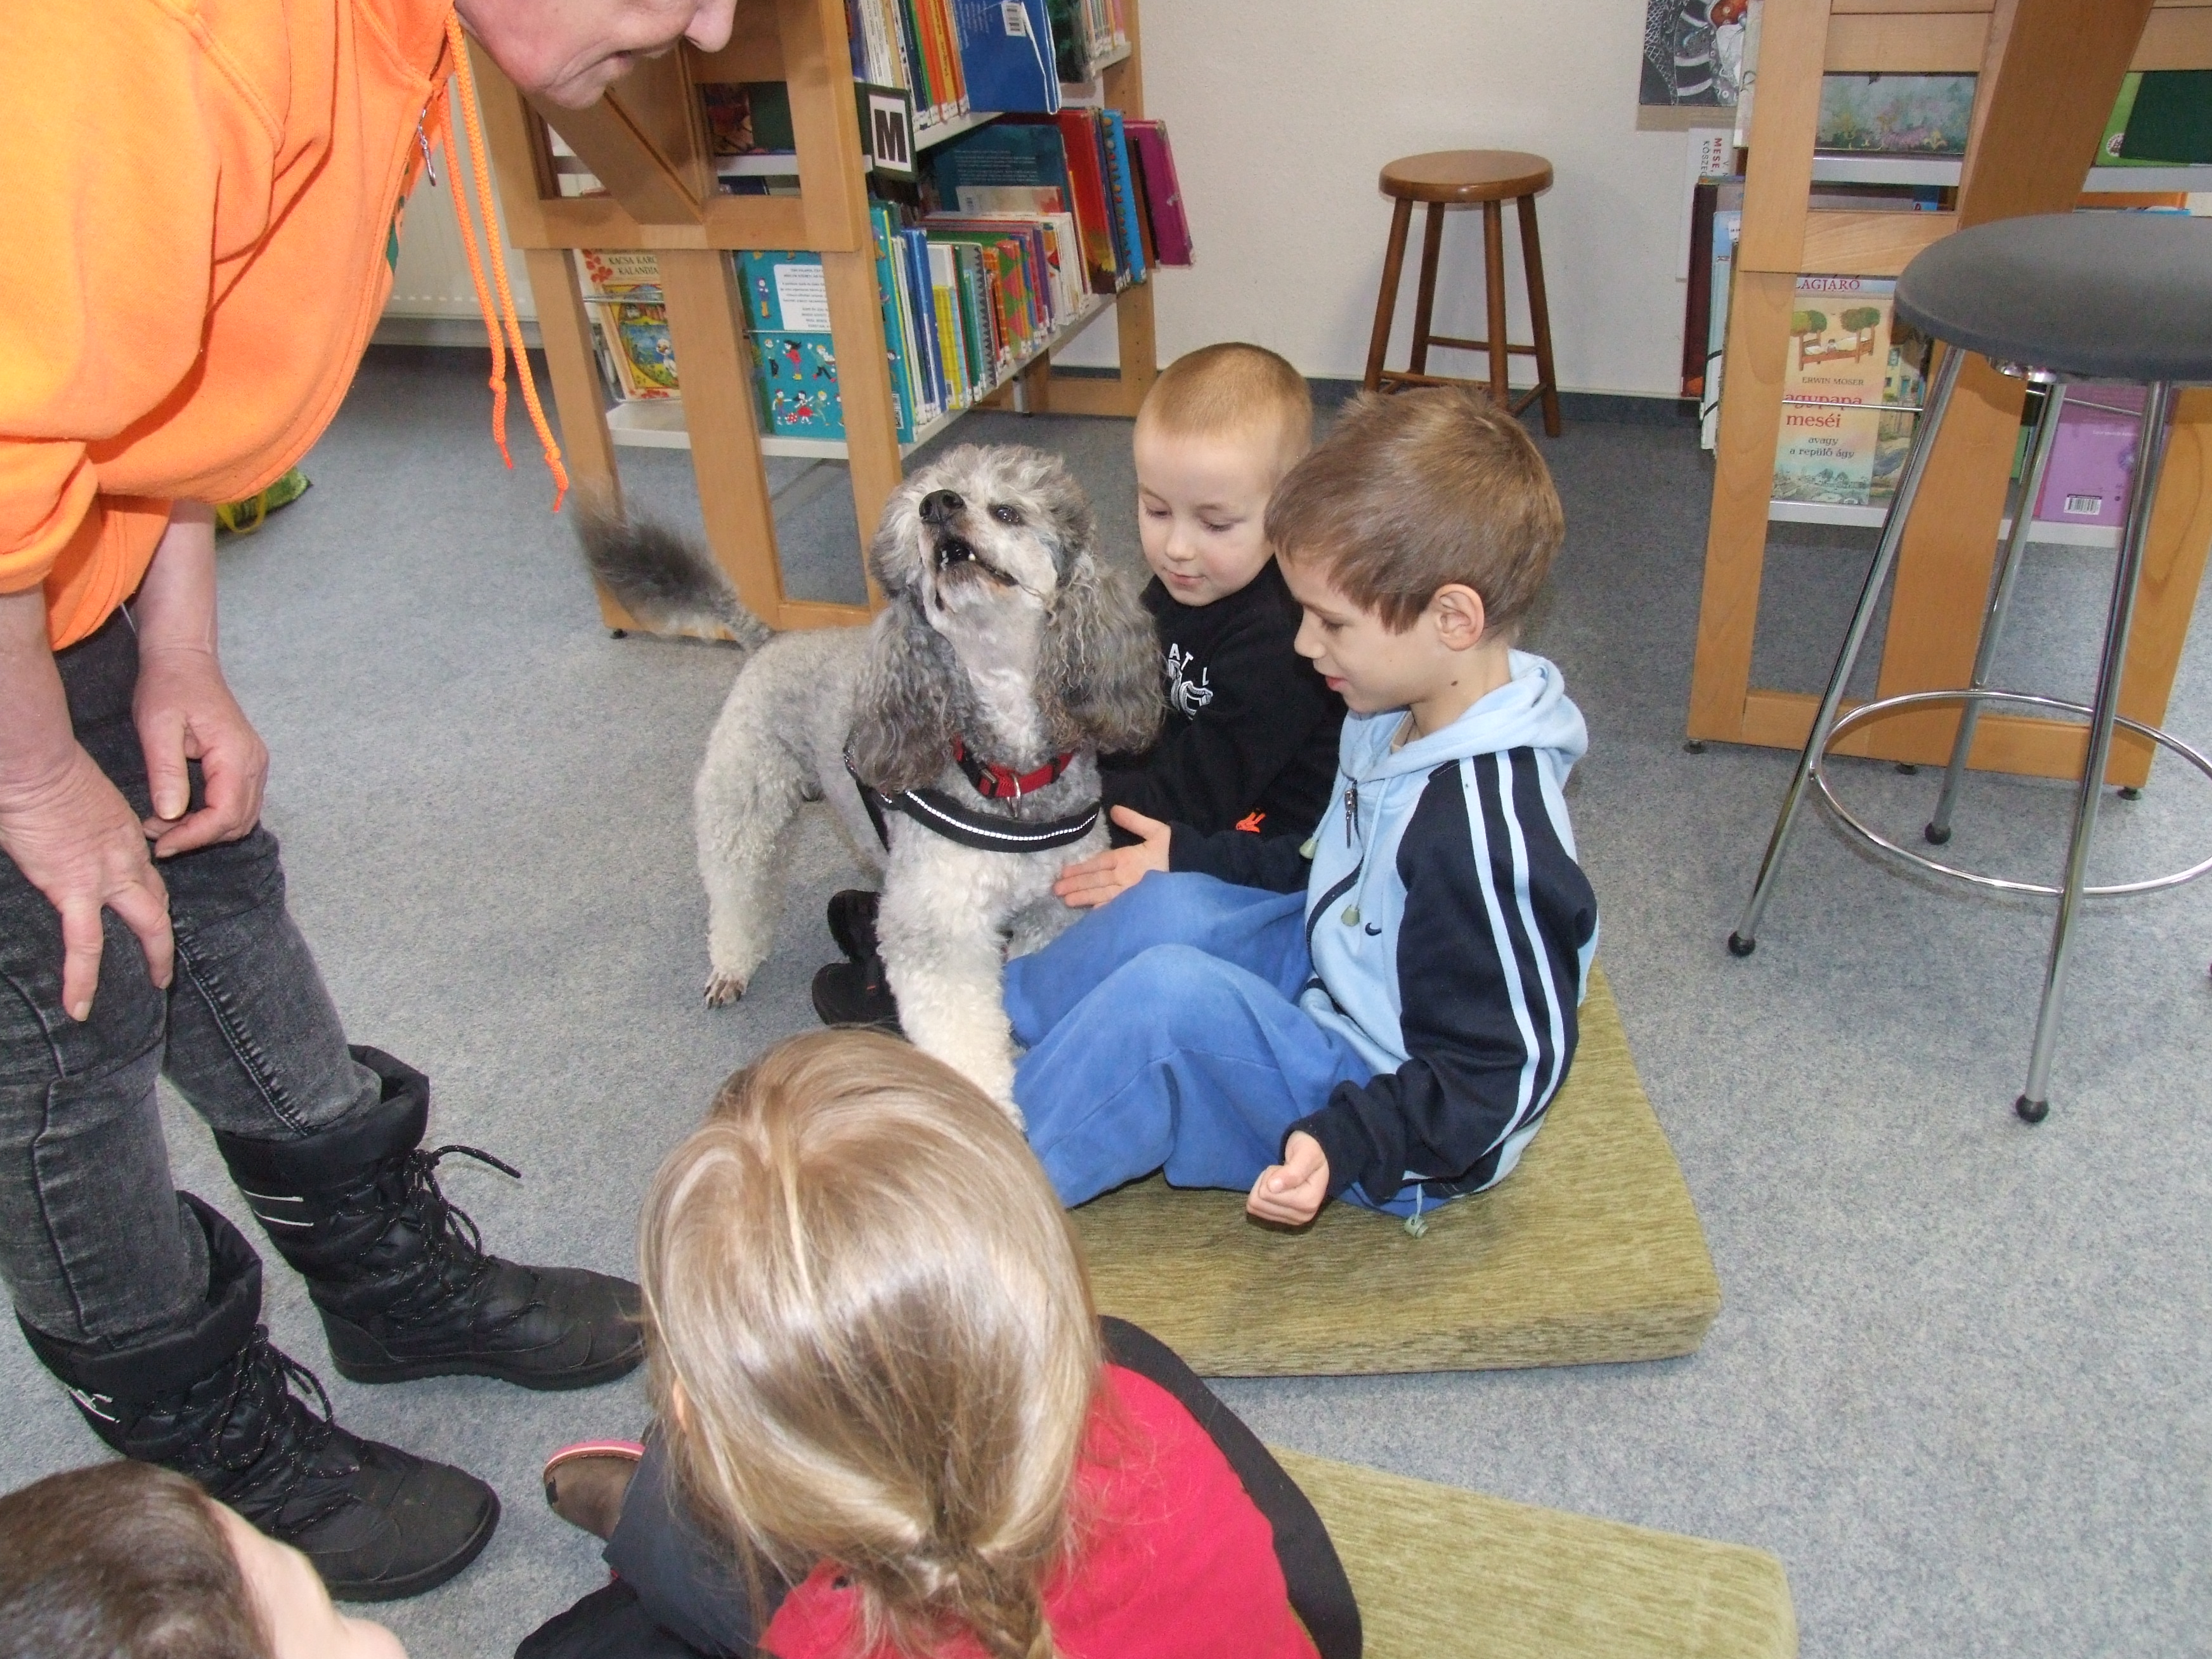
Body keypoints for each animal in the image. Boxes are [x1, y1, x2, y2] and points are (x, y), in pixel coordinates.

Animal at [580, 445, 1162, 1113]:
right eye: (922, 514)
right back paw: (731, 963)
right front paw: (987, 1104)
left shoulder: (1055, 912)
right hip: (743, 802)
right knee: (735, 890)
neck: (1005, 770)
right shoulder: (938, 929)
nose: (938, 505)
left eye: (1007, 512)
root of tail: (768, 640)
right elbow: (960, 1035)